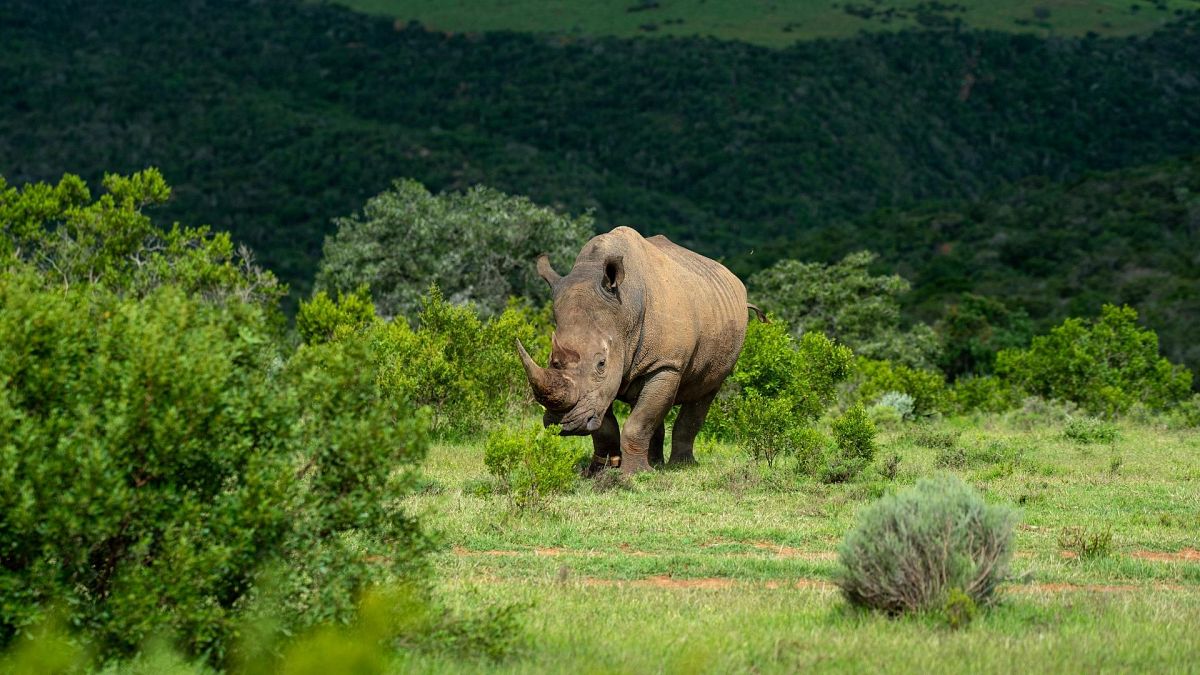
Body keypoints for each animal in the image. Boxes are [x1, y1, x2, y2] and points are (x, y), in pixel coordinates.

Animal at [516, 226, 763, 474]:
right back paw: (655, 464)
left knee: (705, 392)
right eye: (551, 359)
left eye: (601, 364)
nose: (560, 422)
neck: (624, 312)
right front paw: (599, 472)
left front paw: (632, 475)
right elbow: (606, 423)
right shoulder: (603, 383)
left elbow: (639, 421)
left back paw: (681, 466)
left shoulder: (665, 364)